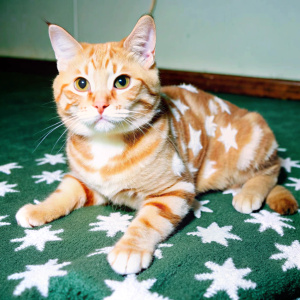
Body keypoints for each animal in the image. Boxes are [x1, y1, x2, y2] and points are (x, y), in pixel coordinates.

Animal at [15, 15, 298, 274]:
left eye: (121, 81)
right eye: (81, 84)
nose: (100, 105)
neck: (107, 146)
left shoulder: (175, 190)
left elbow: (148, 222)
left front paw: (130, 249)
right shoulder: (86, 182)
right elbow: (64, 193)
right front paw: (39, 209)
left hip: (250, 146)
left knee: (272, 170)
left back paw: (250, 193)